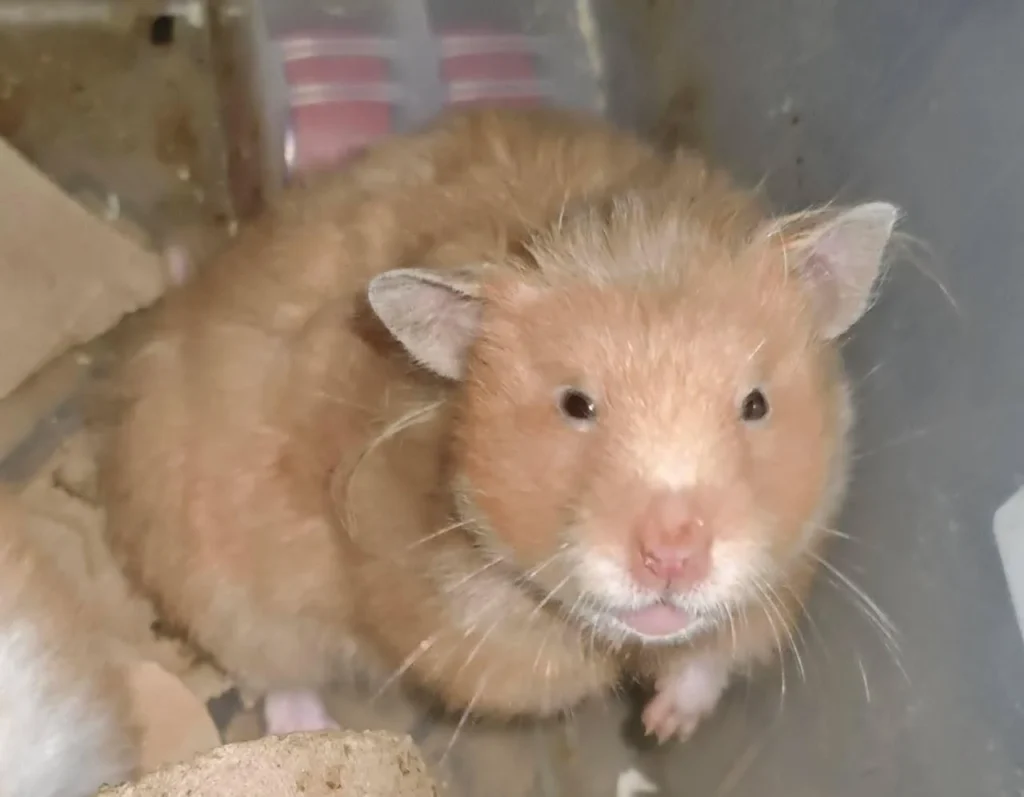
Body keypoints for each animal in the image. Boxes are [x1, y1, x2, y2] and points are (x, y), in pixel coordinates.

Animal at [102, 105, 897, 742]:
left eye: (756, 404)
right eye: (575, 405)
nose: (672, 559)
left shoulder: (792, 562)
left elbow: (712, 653)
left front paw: (664, 724)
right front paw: (634, 698)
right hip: (220, 583)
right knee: (274, 673)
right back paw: (312, 727)